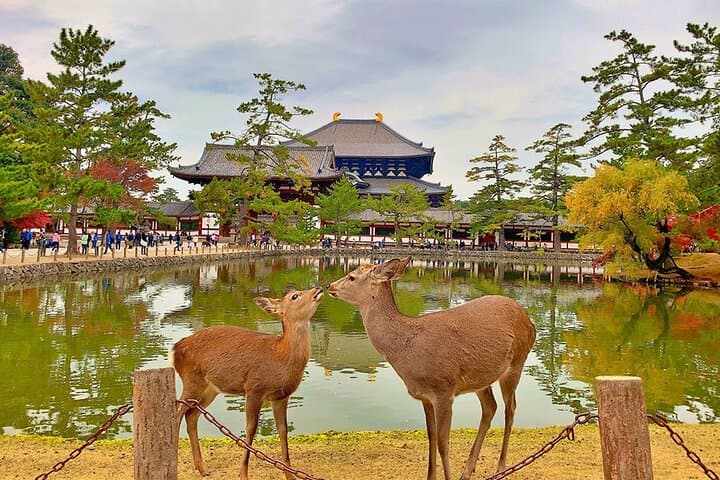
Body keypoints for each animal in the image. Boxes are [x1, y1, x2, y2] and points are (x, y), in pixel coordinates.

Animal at [172, 286, 324, 479]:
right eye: (294, 296)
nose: (318, 288)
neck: (280, 357)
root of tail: (175, 349)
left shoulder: (281, 397)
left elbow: (283, 430)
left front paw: (290, 474)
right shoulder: (254, 389)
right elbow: (251, 429)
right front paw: (243, 473)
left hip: (209, 389)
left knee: (191, 415)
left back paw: (203, 468)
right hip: (191, 380)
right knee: (178, 413)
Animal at [327, 257, 536, 480]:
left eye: (351, 276)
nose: (329, 285)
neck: (408, 351)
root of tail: (531, 323)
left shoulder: (444, 390)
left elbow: (444, 443)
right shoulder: (425, 396)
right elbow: (431, 437)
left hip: (516, 363)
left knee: (510, 408)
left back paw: (501, 467)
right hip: (481, 378)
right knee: (490, 407)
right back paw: (467, 470)